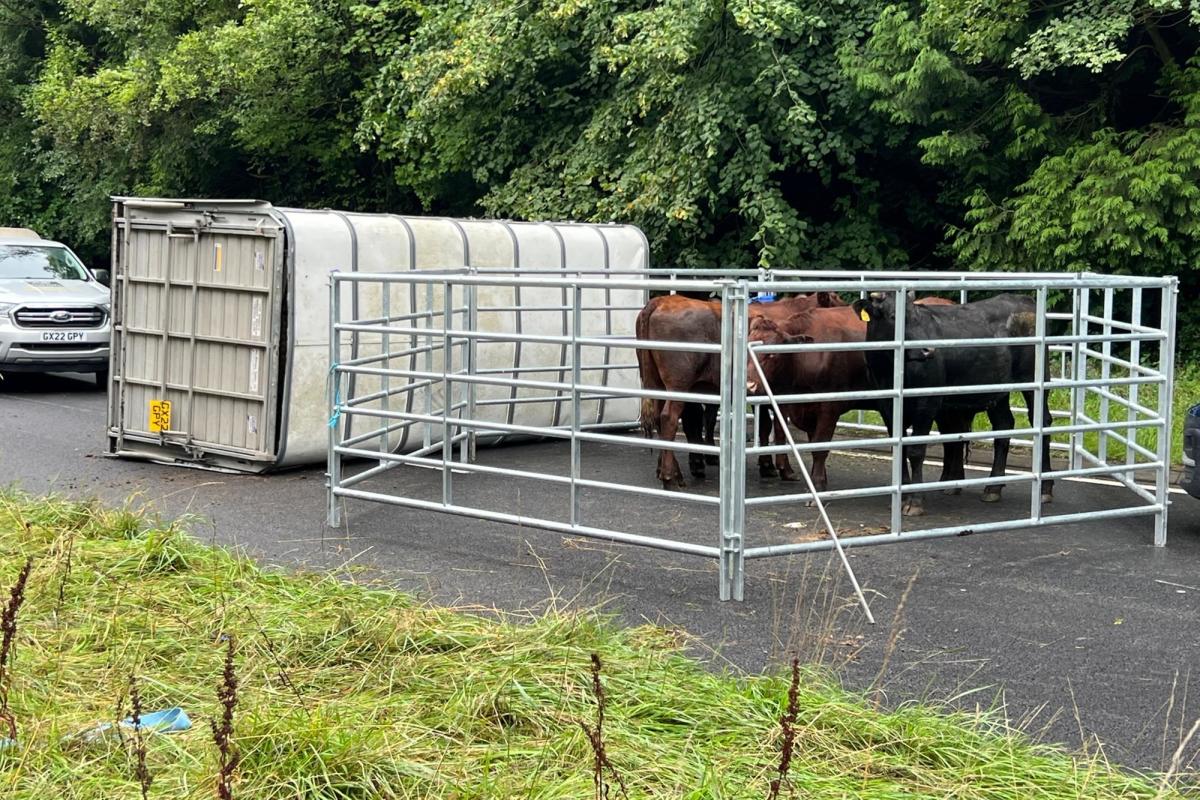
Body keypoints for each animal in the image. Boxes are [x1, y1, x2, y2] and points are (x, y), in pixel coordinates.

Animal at [638, 292, 835, 489]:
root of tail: (661, 300)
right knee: (669, 418)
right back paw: (670, 478)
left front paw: (767, 465)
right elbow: (779, 428)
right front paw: (784, 469)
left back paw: (672, 472)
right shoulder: (780, 392)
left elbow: (765, 425)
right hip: (679, 384)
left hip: (657, 384)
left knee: (661, 419)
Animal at [849, 293, 1056, 520]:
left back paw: (1045, 489)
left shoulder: (926, 405)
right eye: (894, 316)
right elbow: (900, 449)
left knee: (1043, 422)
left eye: (917, 316)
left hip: (1034, 382)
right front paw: (902, 497)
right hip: (998, 391)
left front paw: (915, 502)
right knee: (1003, 425)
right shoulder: (888, 407)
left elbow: (916, 451)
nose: (929, 350)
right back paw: (993, 488)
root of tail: (1023, 299)